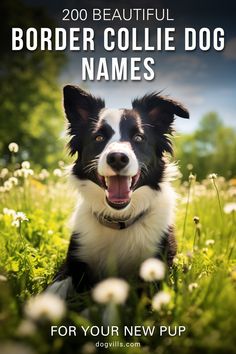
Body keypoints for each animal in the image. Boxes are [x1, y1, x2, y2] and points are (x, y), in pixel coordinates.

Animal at [48, 85, 190, 298]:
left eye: (138, 138)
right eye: (98, 137)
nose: (117, 158)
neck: (119, 220)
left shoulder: (155, 269)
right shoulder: (74, 260)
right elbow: (53, 290)